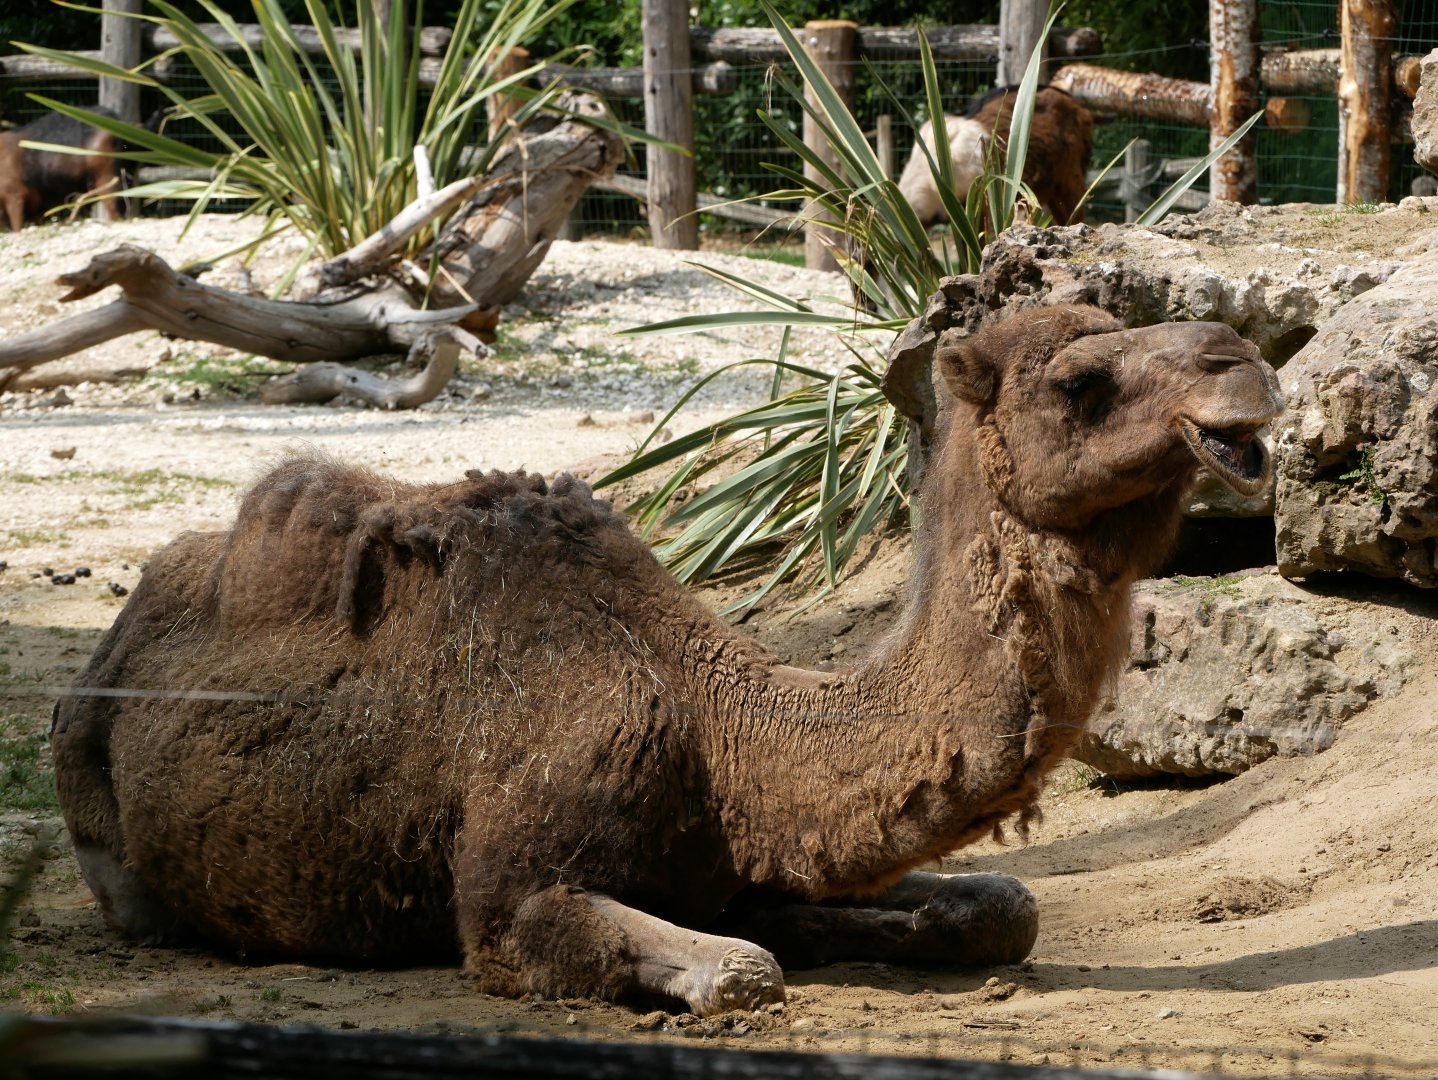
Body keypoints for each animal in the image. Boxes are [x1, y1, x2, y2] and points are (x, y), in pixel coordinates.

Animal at [52, 304, 1282, 1016]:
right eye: (1078, 383)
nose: (1247, 365)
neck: (717, 733)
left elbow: (1002, 906)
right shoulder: (510, 891)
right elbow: (737, 971)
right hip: (95, 804)